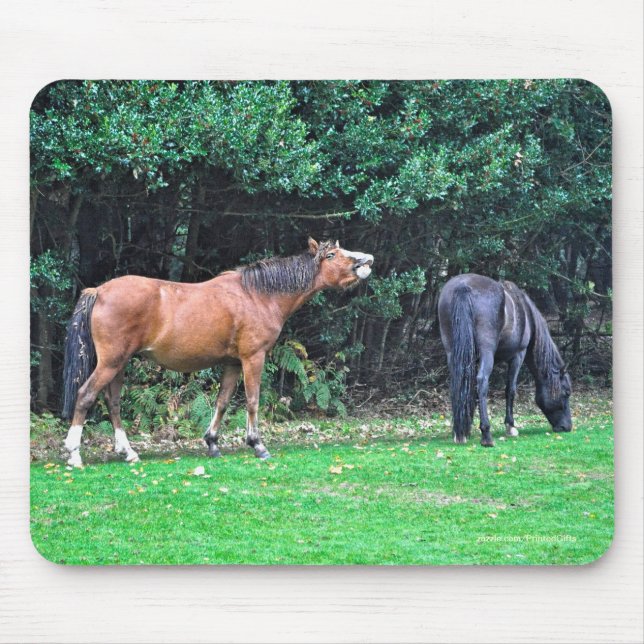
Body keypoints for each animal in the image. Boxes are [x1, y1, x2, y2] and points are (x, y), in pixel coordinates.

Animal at [62, 238, 374, 467]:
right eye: (331, 254)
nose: (367, 261)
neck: (258, 295)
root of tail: (99, 291)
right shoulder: (253, 358)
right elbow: (252, 400)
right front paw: (257, 444)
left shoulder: (232, 363)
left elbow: (222, 402)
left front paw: (212, 442)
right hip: (111, 363)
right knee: (85, 395)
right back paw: (74, 454)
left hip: (119, 364)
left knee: (112, 403)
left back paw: (128, 452)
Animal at [438, 273, 572, 447]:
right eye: (566, 392)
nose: (567, 427)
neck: (526, 314)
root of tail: (463, 286)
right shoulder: (518, 356)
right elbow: (510, 390)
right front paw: (510, 426)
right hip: (487, 353)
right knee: (482, 382)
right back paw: (486, 435)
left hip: (452, 352)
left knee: (458, 383)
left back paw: (459, 433)